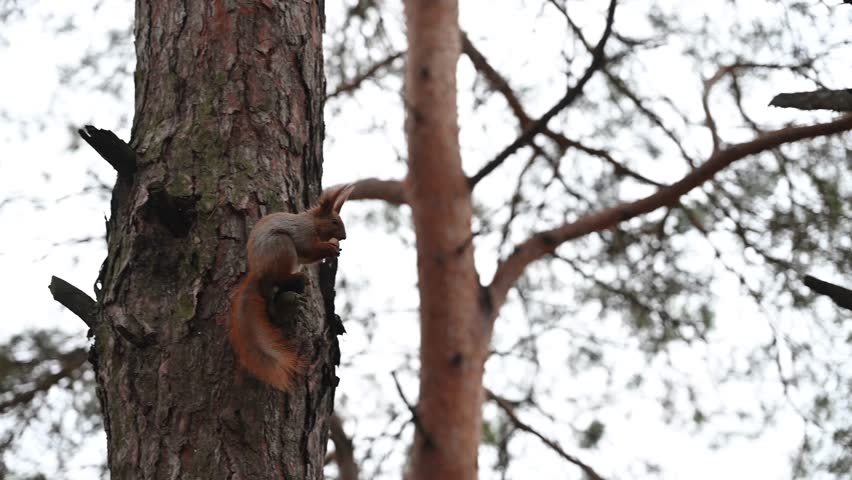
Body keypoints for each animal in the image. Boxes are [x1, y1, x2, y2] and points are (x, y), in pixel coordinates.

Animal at [228, 184, 355, 390]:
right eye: (334, 222)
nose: (343, 237)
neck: (312, 223)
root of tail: (259, 272)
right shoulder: (303, 233)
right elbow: (308, 248)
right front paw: (330, 248)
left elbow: (309, 256)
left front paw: (334, 246)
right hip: (282, 245)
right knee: (280, 277)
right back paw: (296, 277)